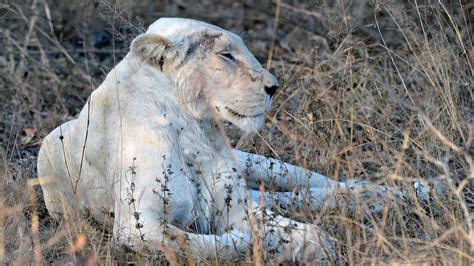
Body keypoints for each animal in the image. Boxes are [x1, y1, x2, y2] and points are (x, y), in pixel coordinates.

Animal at [37, 18, 436, 262]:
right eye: (226, 54)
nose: (274, 86)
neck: (191, 124)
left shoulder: (232, 201)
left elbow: (283, 227)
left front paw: (312, 244)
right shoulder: (137, 225)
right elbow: (197, 244)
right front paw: (259, 243)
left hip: (260, 165)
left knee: (320, 186)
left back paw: (425, 189)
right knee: (288, 199)